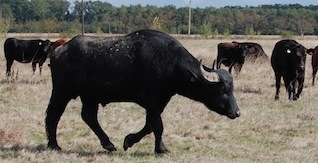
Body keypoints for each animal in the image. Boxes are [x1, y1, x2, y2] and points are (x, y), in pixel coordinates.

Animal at [46, 29, 241, 154]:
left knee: (89, 116)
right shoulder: (151, 101)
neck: (169, 63)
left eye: (232, 89)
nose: (237, 112)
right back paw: (54, 145)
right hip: (62, 91)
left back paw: (108, 144)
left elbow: (149, 126)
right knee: (53, 114)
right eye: (223, 89)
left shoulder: (159, 102)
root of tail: (59, 50)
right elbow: (158, 126)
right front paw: (161, 149)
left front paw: (129, 140)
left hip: (89, 96)